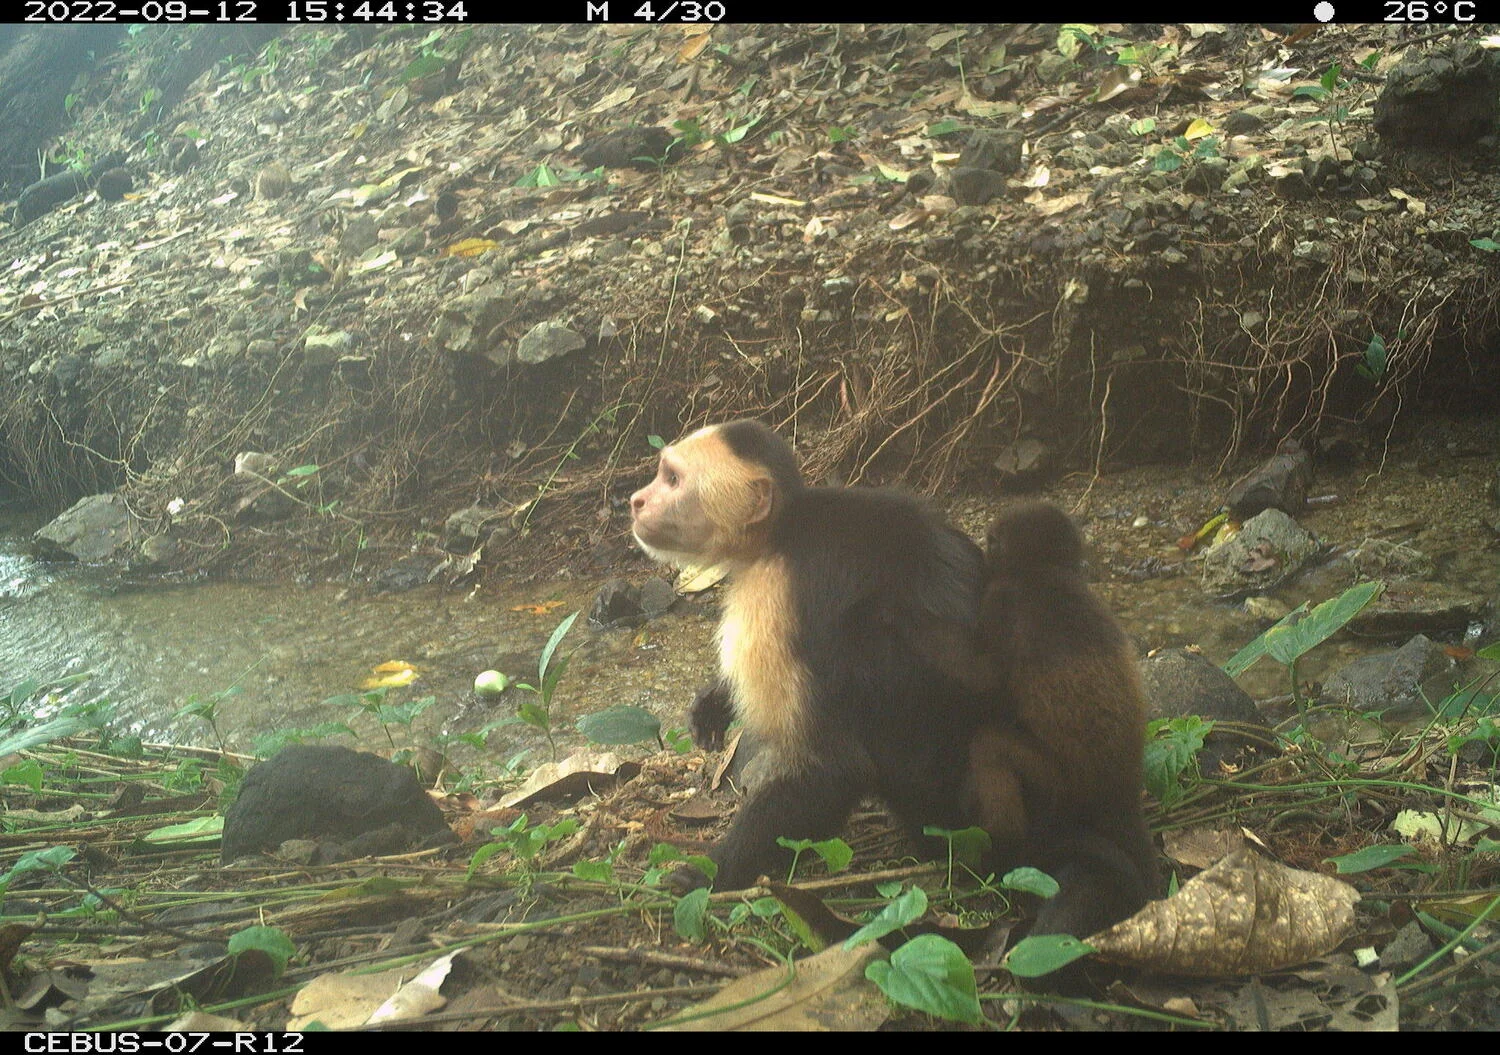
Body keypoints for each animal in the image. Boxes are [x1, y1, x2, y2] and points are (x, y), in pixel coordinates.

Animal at [630, 419, 994, 892]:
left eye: (672, 480)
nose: (636, 500)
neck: (778, 534)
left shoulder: (770, 600)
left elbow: (833, 768)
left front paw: (712, 873)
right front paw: (713, 701)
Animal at [903, 502, 1156, 939]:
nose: (982, 544)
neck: (1044, 571)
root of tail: (1120, 789)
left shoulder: (1001, 600)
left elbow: (984, 678)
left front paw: (910, 624)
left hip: (1060, 785)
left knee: (988, 747)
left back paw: (1001, 845)